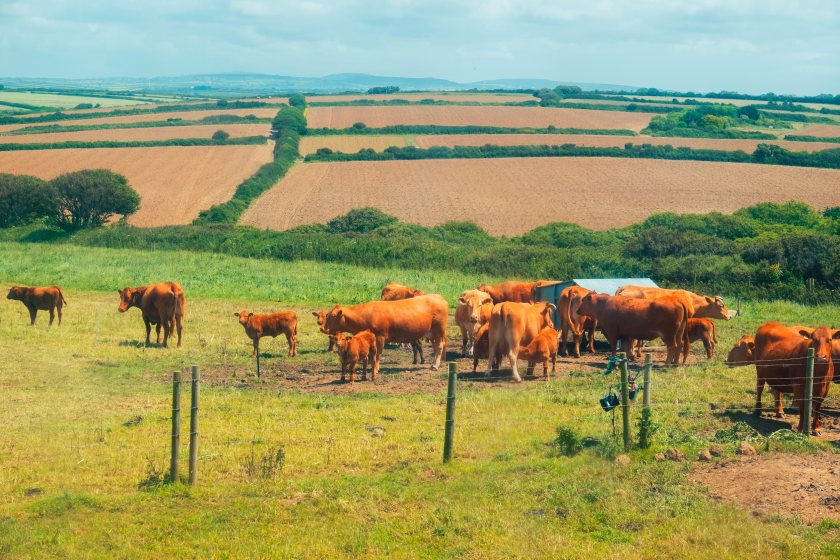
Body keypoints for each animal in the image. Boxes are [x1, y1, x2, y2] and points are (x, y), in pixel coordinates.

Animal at [320, 294, 450, 376]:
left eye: (332, 316)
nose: (322, 328)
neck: (366, 315)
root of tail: (438, 297)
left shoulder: (380, 337)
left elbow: (377, 355)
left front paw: (375, 369)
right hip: (432, 333)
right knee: (436, 347)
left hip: (438, 330)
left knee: (439, 346)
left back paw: (435, 365)